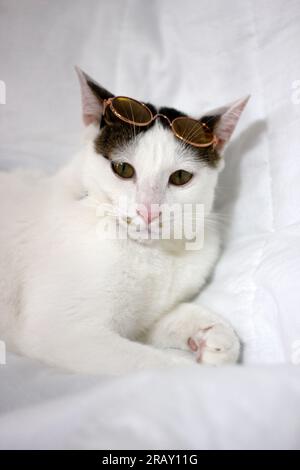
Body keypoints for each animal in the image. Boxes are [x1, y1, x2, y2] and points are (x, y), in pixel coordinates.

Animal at [0, 67, 248, 374]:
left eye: (180, 177)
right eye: (123, 169)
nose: (149, 211)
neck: (152, 256)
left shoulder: (144, 321)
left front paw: (214, 334)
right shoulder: (64, 333)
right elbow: (160, 365)